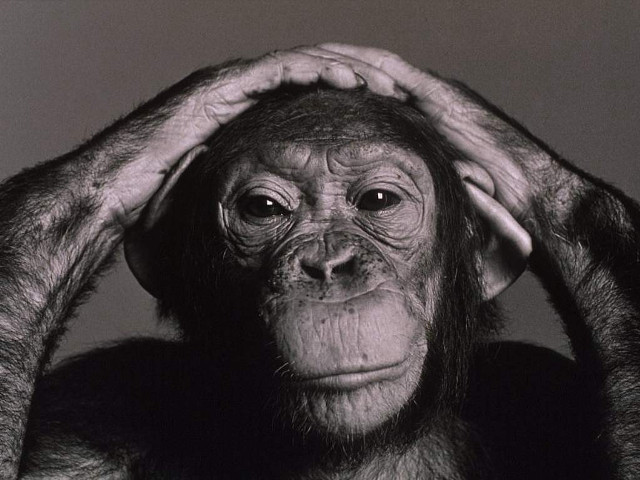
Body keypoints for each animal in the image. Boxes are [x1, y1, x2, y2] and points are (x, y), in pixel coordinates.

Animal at [0, 44, 639, 479]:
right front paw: (209, 96)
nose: (329, 265)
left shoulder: (537, 388)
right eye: (263, 209)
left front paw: (468, 120)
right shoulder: (80, 423)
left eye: (377, 201)